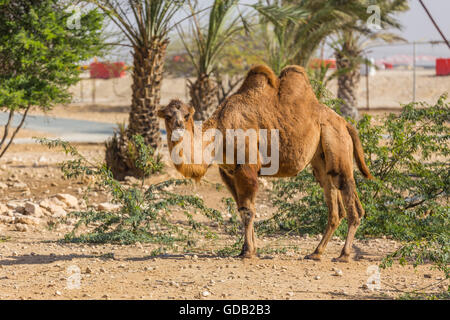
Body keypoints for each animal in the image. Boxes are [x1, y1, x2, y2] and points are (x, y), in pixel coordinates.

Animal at [158, 65, 372, 262]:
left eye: (186, 115)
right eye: (168, 116)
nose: (178, 127)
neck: (219, 130)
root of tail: (346, 123)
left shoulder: (246, 168)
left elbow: (248, 211)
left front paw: (249, 252)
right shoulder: (228, 173)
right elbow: (242, 209)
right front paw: (246, 249)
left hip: (337, 143)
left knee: (349, 196)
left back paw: (344, 255)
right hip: (321, 157)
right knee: (334, 201)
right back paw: (316, 253)